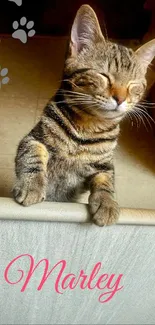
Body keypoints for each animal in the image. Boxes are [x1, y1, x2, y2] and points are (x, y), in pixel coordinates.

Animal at [12, 4, 155, 225]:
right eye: (104, 76)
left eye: (134, 85)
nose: (121, 98)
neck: (87, 128)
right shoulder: (34, 138)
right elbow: (32, 155)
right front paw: (31, 185)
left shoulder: (104, 165)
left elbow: (106, 181)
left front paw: (107, 203)